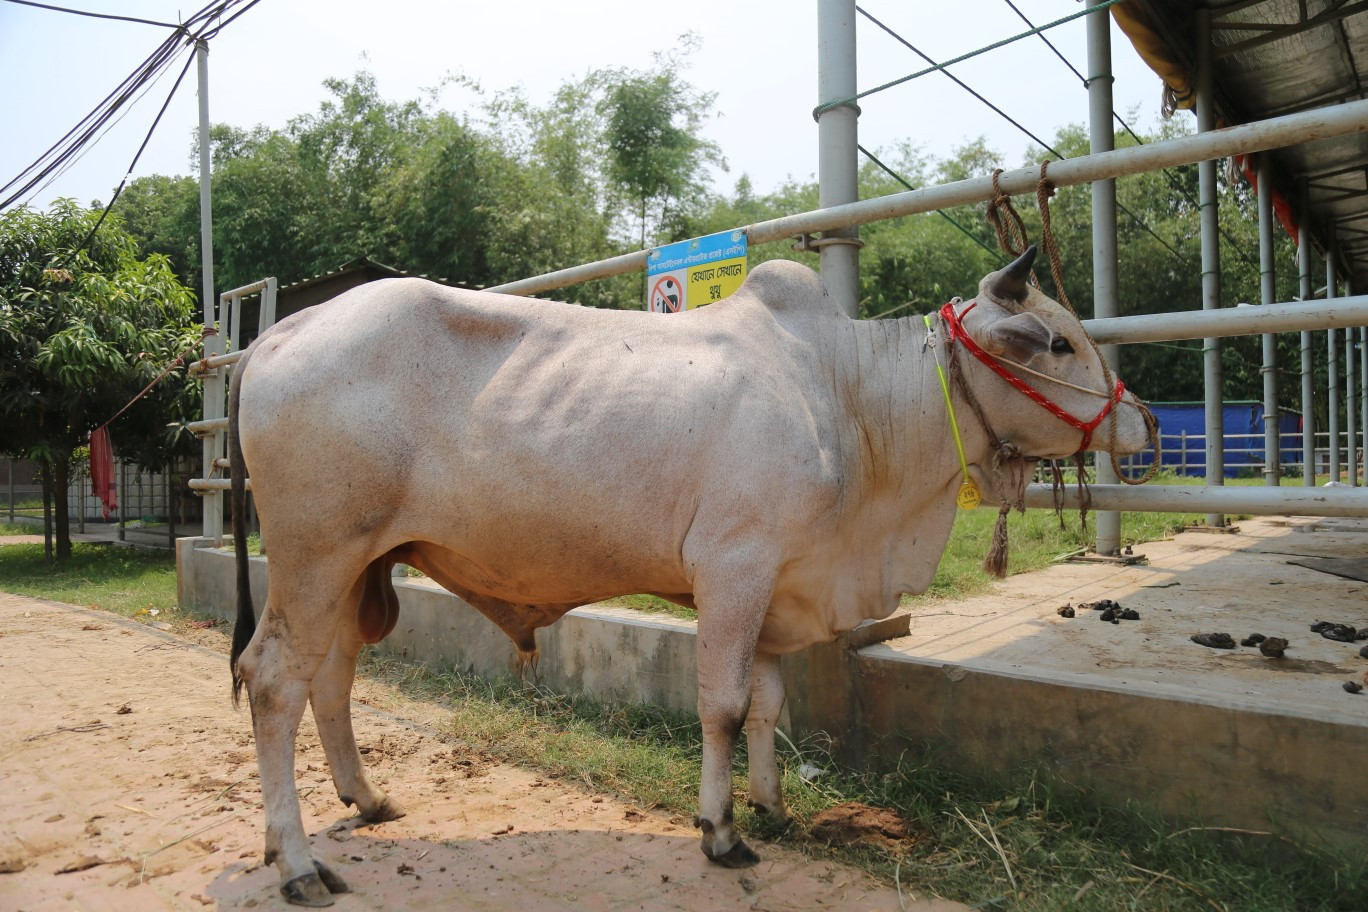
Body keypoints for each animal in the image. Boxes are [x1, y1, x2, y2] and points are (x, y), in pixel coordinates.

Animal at [227, 246, 1151, 905]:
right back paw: (297, 864)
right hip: (314, 556)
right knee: (271, 680)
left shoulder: (781, 581)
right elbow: (724, 705)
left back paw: (363, 802)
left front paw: (774, 806)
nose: (1141, 422)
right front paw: (722, 830)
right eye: (1060, 341)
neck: (851, 398)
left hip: (356, 568)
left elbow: (769, 705)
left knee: (330, 679)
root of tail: (278, 334)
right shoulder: (735, 569)